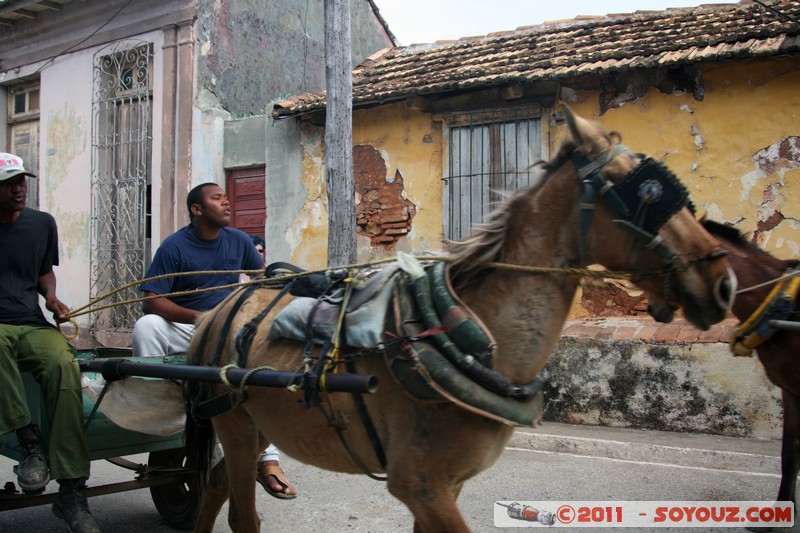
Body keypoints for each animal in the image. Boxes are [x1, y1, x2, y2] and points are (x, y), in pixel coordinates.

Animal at [184, 106, 736, 533]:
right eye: (646, 192)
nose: (723, 282)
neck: (478, 340)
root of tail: (218, 310)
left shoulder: (441, 489)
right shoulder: (421, 487)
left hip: (257, 423)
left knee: (213, 486)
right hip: (235, 425)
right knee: (241, 515)